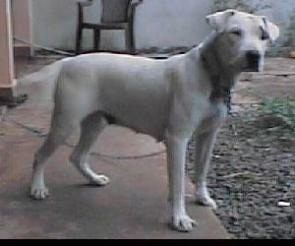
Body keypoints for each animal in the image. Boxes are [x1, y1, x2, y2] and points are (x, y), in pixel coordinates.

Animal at [20, 10, 280, 233]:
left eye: (263, 36)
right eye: (235, 32)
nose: (254, 56)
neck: (210, 74)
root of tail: (68, 62)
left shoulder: (208, 136)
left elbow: (202, 170)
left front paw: (203, 198)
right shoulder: (177, 139)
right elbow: (178, 184)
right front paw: (179, 218)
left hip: (97, 122)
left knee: (78, 156)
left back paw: (93, 179)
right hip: (65, 122)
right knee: (40, 155)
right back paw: (37, 188)